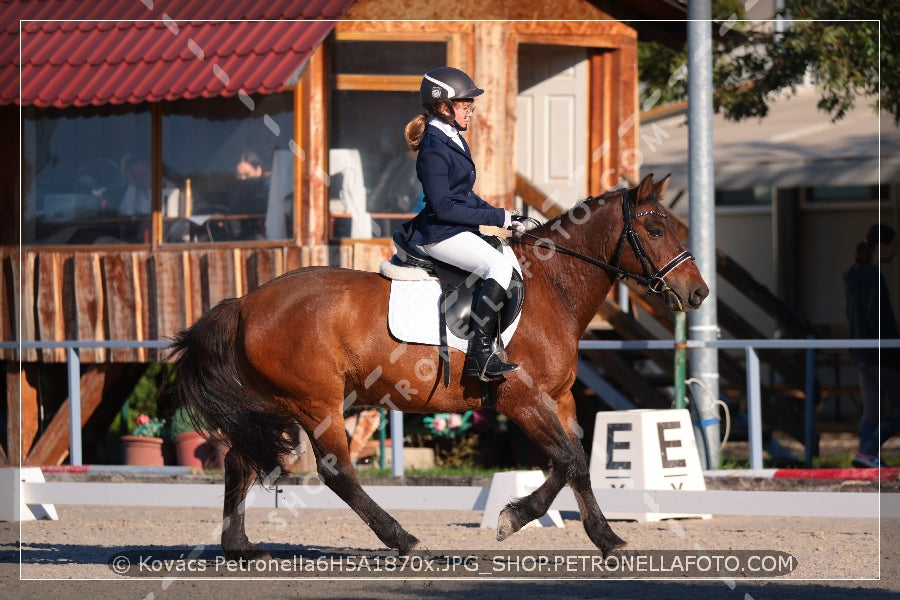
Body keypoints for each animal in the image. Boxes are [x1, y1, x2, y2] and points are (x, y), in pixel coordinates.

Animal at [165, 171, 708, 560]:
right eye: (655, 229)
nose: (698, 294)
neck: (553, 289)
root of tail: (246, 302)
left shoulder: (559, 398)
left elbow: (574, 463)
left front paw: (600, 536)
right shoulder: (522, 398)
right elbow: (570, 460)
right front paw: (519, 519)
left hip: (275, 405)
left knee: (240, 460)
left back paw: (238, 547)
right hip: (315, 404)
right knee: (337, 471)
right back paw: (403, 540)